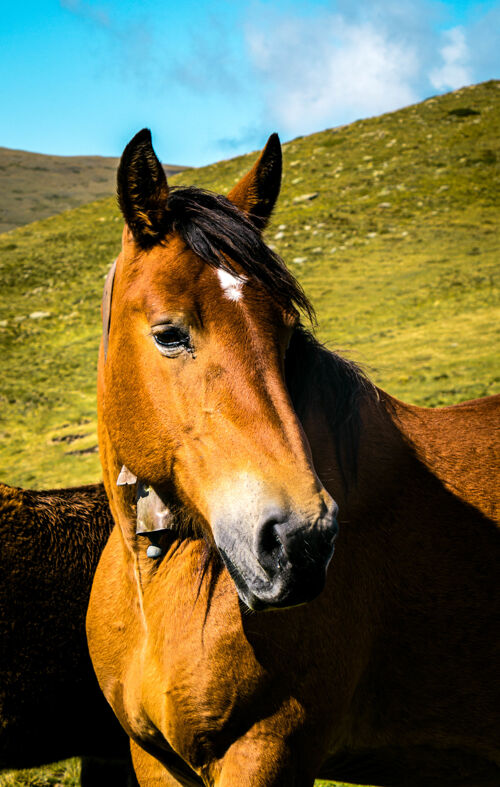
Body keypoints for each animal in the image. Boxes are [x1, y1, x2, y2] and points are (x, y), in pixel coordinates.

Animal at [87, 131, 500, 787]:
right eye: (169, 334)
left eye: (283, 334)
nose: (300, 542)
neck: (157, 576)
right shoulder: (152, 757)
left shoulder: (267, 749)